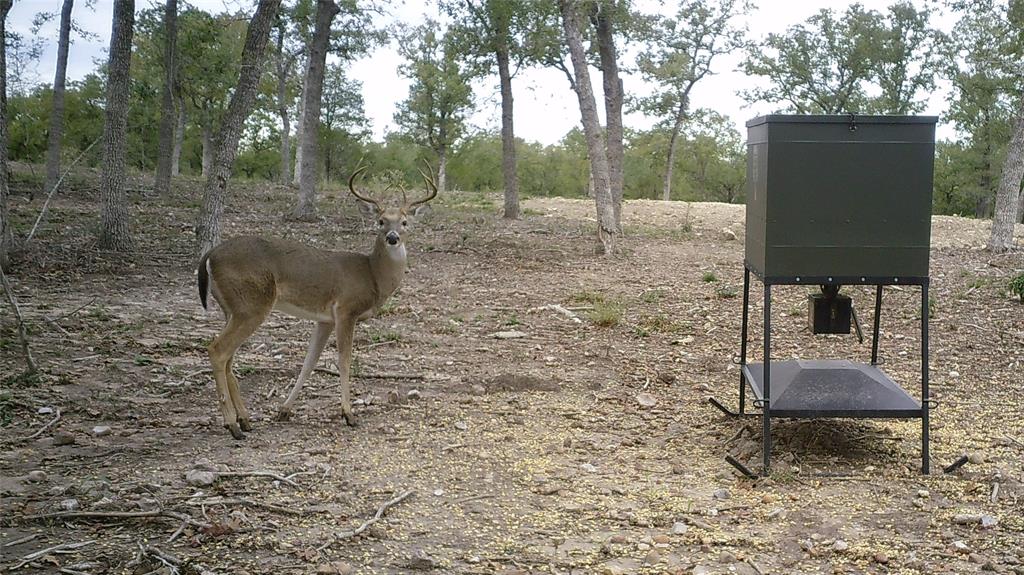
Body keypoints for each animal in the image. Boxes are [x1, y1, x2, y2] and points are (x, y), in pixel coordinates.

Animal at [197, 167, 438, 435]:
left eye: (405, 222)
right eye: (381, 221)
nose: (393, 237)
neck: (373, 275)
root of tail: (210, 255)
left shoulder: (325, 319)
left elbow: (309, 361)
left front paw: (284, 410)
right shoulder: (346, 309)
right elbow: (344, 360)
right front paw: (348, 414)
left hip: (232, 308)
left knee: (229, 357)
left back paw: (245, 420)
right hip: (252, 305)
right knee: (218, 350)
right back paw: (232, 424)